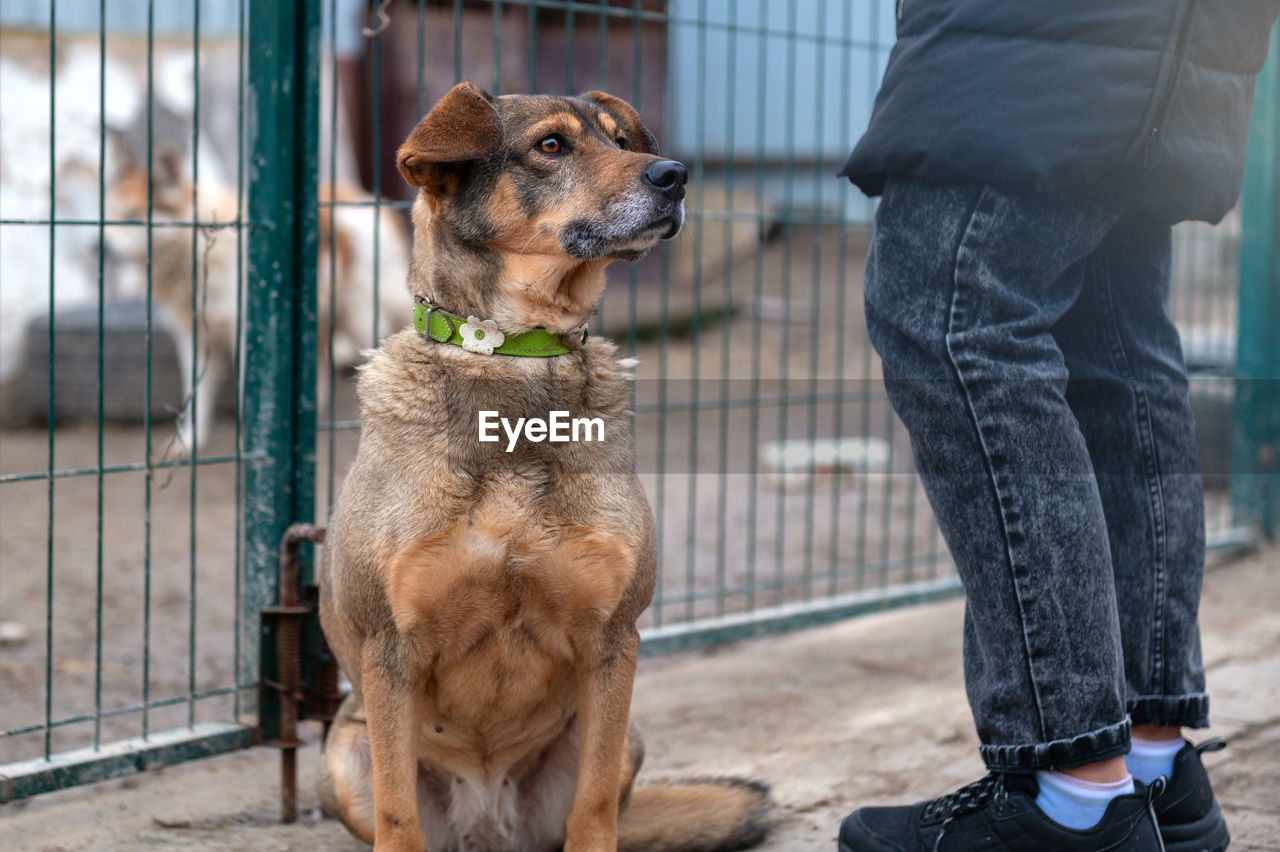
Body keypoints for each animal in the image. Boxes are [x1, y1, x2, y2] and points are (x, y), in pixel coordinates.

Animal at [314, 81, 773, 849]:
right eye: (551, 145)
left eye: (621, 141)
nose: (675, 175)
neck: (518, 354)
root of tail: (489, 826)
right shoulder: (390, 650)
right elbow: (398, 814)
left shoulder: (612, 642)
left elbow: (594, 805)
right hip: (342, 755)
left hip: (625, 734)